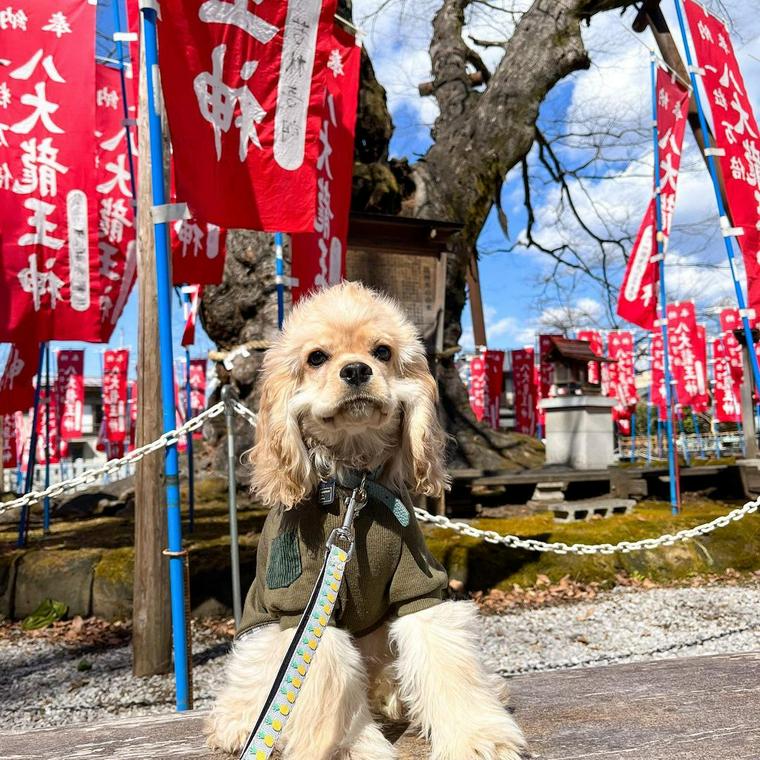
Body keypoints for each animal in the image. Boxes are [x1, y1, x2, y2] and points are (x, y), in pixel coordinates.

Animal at [205, 282, 524, 756]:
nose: (356, 369)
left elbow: (446, 660)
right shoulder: (301, 606)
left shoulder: (419, 586)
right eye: (317, 357)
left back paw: (400, 698)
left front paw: (478, 737)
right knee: (251, 684)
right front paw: (351, 748)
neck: (352, 485)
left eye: (382, 352)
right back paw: (237, 724)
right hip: (259, 636)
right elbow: (323, 688)